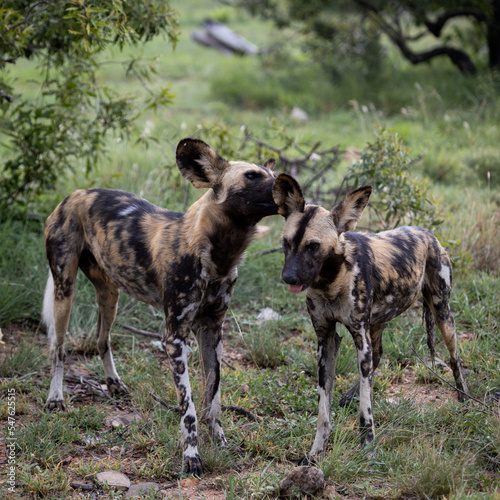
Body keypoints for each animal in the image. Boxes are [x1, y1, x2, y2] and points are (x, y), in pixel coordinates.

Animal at [42, 139, 278, 474]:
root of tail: (73, 194)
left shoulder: (212, 331)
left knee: (102, 339)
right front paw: (192, 457)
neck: (217, 254)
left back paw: (114, 384)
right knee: (58, 348)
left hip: (110, 294)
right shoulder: (175, 338)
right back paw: (56, 398)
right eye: (252, 175)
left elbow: (213, 398)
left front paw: (219, 441)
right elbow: (189, 408)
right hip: (65, 289)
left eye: (272, 174)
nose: (289, 185)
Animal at [272, 174, 466, 458]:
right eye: (286, 243)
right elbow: (323, 410)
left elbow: (366, 409)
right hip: (377, 324)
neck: (330, 282)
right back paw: (349, 395)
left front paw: (367, 444)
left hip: (442, 314)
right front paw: (316, 450)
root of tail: (428, 232)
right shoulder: (325, 339)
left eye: (313, 246)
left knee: (454, 357)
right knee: (378, 355)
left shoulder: (358, 337)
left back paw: (465, 399)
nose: (289, 278)